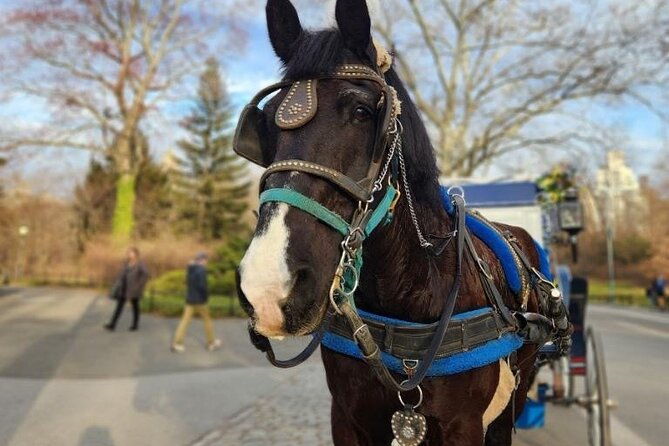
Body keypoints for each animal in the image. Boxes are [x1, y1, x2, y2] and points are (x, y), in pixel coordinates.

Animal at [235, 1, 569, 444]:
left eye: (362, 112)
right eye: (268, 122)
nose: (268, 286)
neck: (408, 291)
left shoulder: (464, 425)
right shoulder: (348, 418)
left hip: (516, 391)